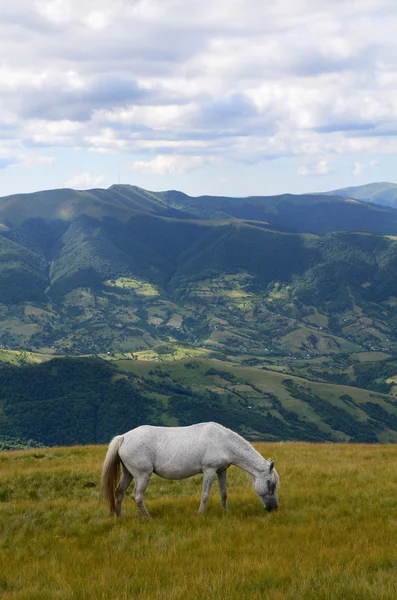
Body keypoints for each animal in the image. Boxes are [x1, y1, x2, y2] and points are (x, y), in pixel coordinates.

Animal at [99, 422, 278, 516]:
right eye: (271, 484)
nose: (273, 508)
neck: (223, 441)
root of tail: (124, 437)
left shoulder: (221, 470)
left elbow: (224, 493)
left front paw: (225, 512)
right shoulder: (209, 470)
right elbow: (205, 495)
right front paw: (200, 515)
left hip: (128, 473)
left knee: (119, 492)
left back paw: (119, 517)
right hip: (142, 475)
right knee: (137, 497)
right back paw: (149, 519)